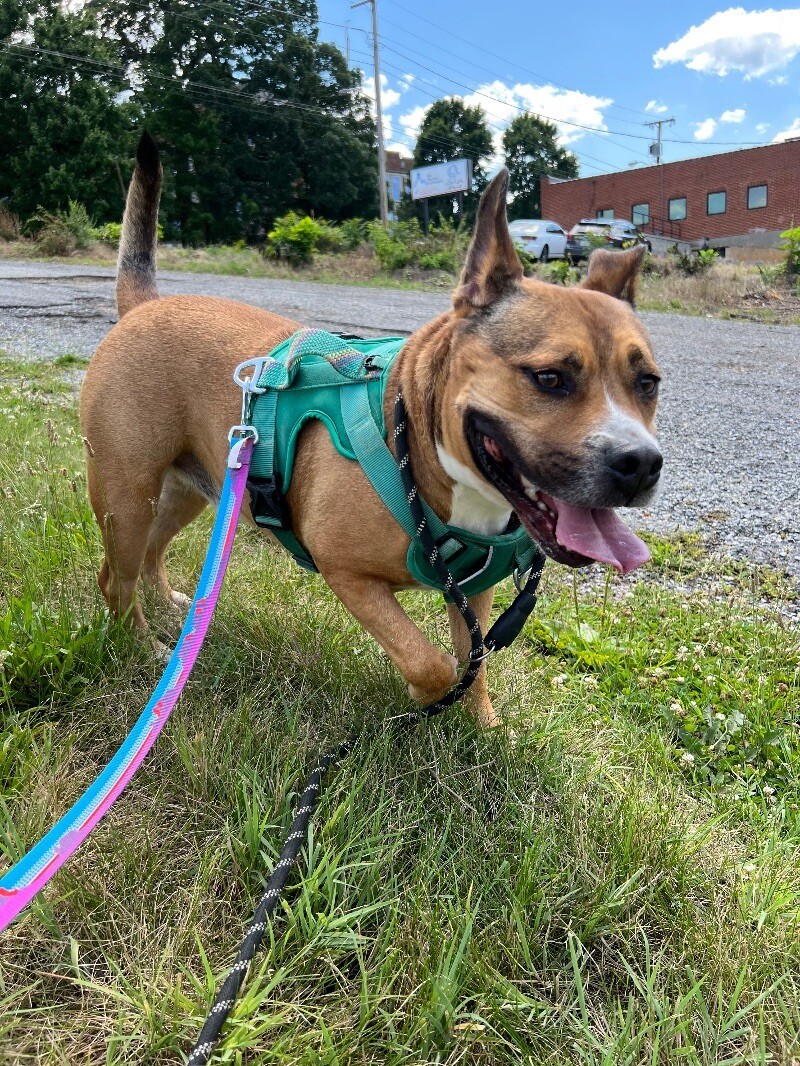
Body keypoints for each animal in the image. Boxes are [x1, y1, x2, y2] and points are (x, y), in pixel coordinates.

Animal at [80, 135, 665, 724]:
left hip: (193, 490)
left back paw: (171, 609)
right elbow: (432, 662)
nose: (641, 464)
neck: (423, 452)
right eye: (549, 378)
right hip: (126, 496)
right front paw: (430, 698)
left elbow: (473, 658)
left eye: (649, 383)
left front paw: (482, 724)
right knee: (115, 575)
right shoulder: (346, 572)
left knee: (150, 552)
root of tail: (146, 304)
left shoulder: (473, 592)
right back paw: (144, 645)